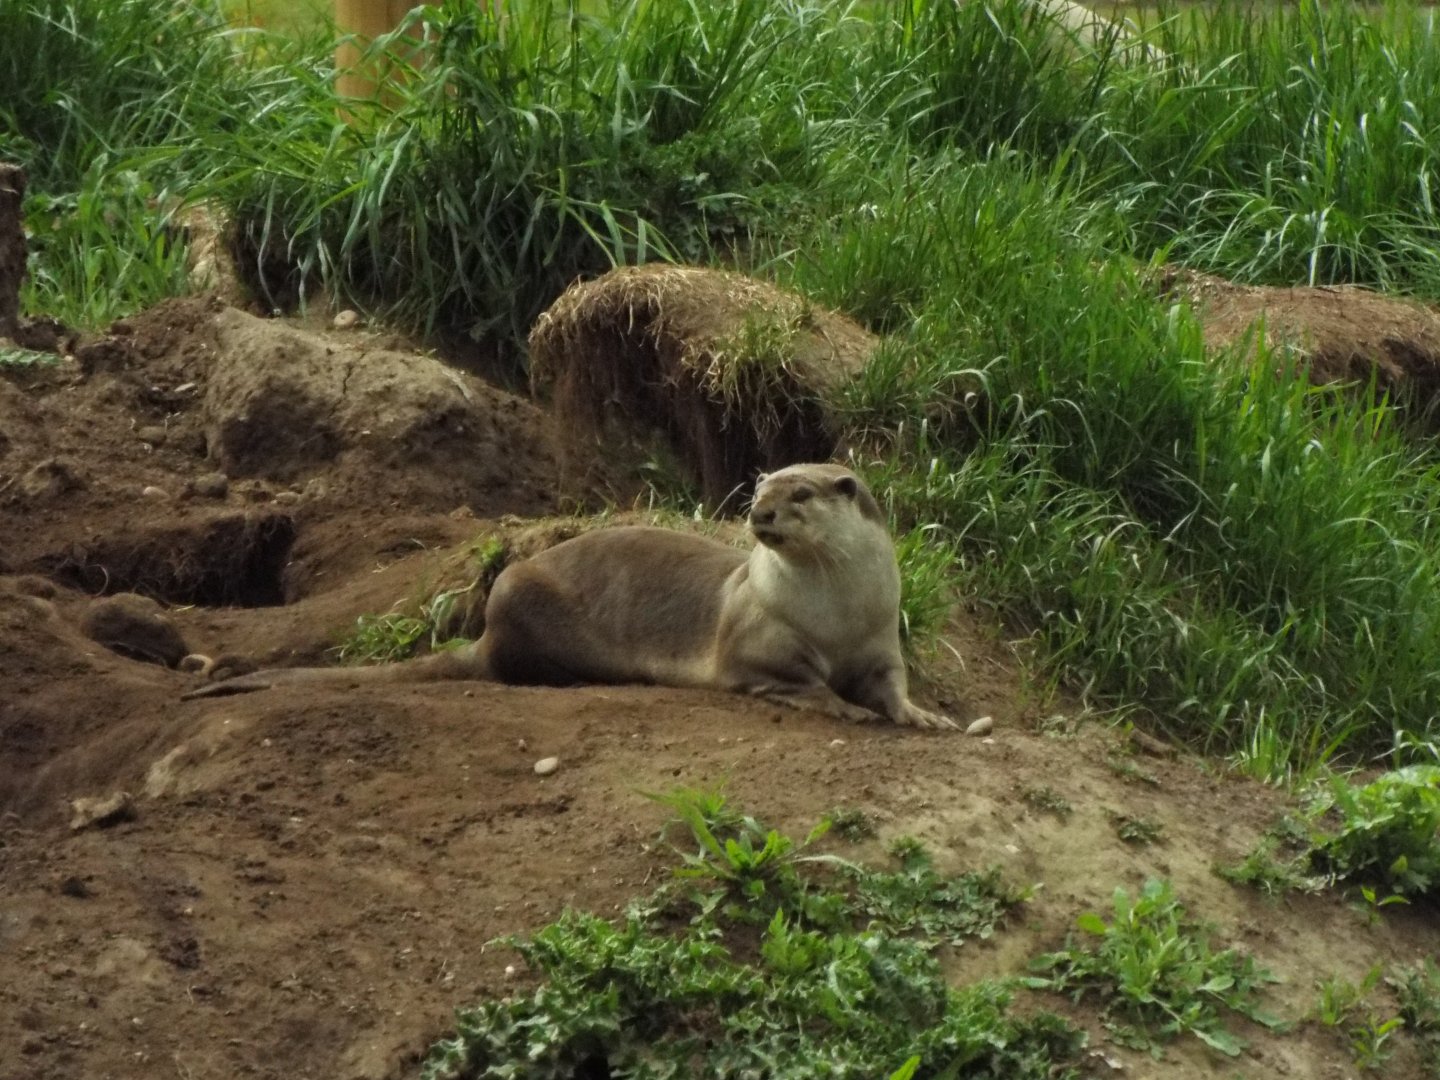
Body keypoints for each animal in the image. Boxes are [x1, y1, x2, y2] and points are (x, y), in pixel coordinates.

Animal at [183, 463, 957, 730]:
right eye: (760, 485)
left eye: (800, 495)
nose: (760, 513)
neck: (835, 615)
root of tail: (486, 629)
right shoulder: (757, 636)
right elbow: (789, 678)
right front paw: (835, 704)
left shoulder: (879, 639)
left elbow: (892, 685)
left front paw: (924, 715)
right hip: (527, 602)